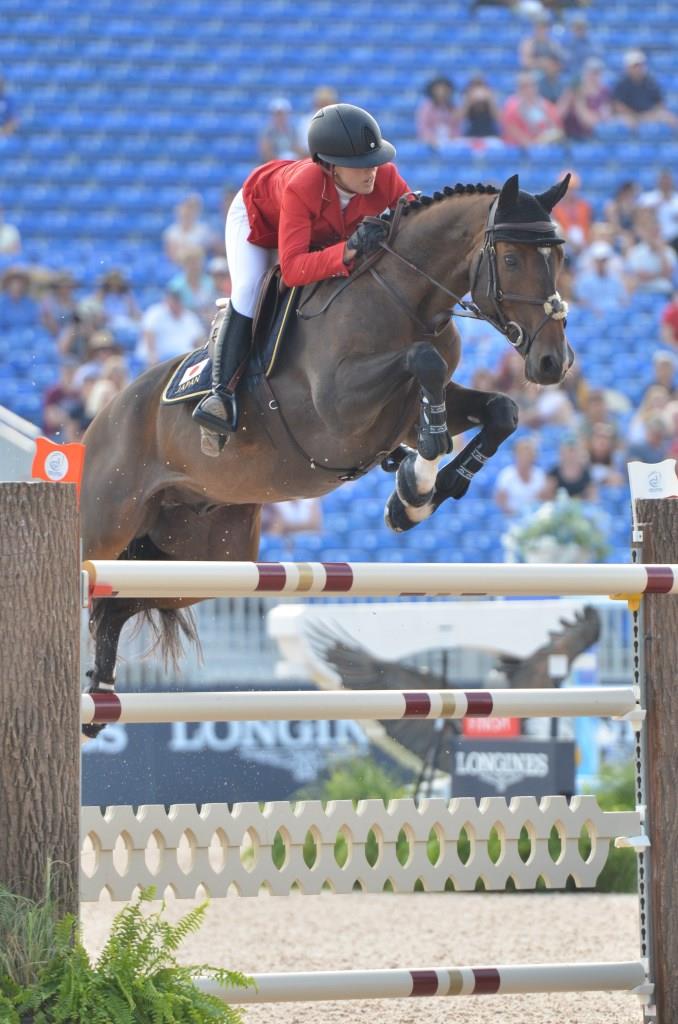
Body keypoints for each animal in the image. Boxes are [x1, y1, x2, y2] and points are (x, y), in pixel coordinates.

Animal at [82, 172, 577, 729]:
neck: (404, 301)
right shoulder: (339, 409)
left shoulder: (411, 407)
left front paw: (416, 497)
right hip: (104, 527)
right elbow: (423, 367)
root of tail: (101, 421)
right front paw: (415, 482)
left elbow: (499, 411)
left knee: (117, 604)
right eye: (511, 259)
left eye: (558, 258)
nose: (552, 361)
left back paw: (100, 697)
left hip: (204, 556)